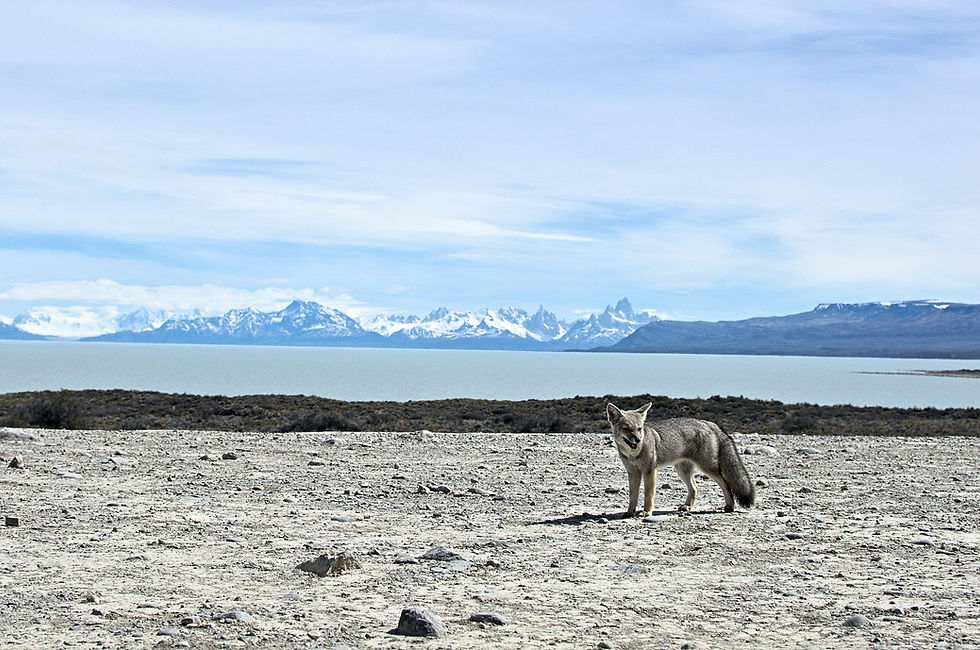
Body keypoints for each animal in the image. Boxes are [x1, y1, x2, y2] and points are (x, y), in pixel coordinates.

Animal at [606, 402, 755, 517]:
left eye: (639, 429)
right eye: (626, 429)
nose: (637, 439)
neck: (634, 454)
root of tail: (708, 423)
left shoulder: (649, 471)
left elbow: (648, 495)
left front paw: (647, 512)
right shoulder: (633, 472)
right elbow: (633, 496)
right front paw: (629, 512)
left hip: (708, 468)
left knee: (726, 484)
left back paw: (729, 506)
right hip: (682, 471)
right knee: (695, 487)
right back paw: (687, 506)